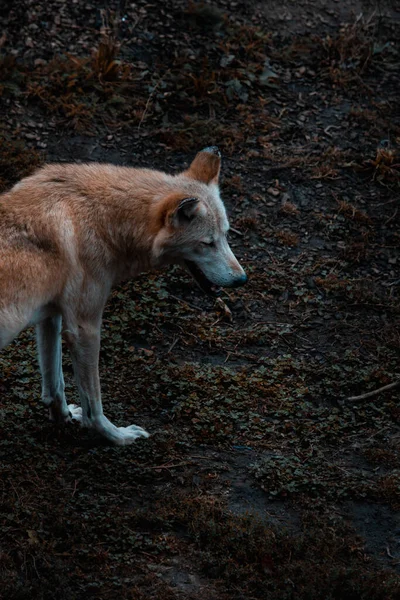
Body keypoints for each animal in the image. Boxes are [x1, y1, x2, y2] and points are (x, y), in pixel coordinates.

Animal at [0, 147, 247, 442]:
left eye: (226, 235)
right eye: (207, 243)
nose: (242, 279)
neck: (101, 218)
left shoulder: (52, 316)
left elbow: (54, 385)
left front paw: (64, 417)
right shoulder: (84, 328)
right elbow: (94, 404)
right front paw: (116, 436)